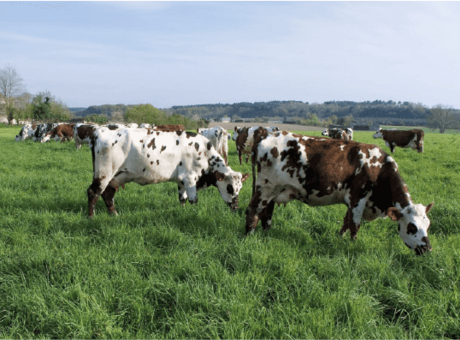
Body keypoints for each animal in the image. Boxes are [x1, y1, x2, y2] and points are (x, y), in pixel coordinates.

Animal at [87, 127, 250, 218]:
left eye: (240, 188)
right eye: (230, 188)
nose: (236, 207)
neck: (204, 151)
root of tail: (99, 131)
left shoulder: (182, 180)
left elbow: (182, 199)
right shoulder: (190, 178)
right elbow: (193, 200)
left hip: (115, 176)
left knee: (107, 194)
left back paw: (114, 214)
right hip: (104, 173)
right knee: (93, 192)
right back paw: (91, 217)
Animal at [246, 130, 434, 255]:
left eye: (428, 225)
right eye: (411, 227)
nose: (428, 248)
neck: (380, 168)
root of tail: (267, 135)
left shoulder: (351, 200)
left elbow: (346, 221)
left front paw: (340, 238)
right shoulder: (358, 197)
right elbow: (355, 225)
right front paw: (353, 245)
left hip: (272, 191)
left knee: (266, 213)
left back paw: (266, 234)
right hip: (266, 187)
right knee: (253, 210)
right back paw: (249, 236)